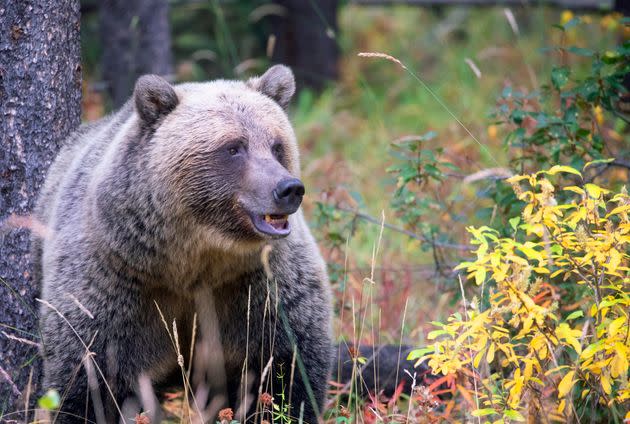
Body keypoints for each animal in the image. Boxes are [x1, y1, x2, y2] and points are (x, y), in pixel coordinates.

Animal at [34, 64, 334, 422]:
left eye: (277, 145)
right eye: (234, 147)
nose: (289, 188)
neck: (192, 259)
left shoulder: (259, 287)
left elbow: (285, 368)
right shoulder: (114, 281)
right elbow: (87, 374)